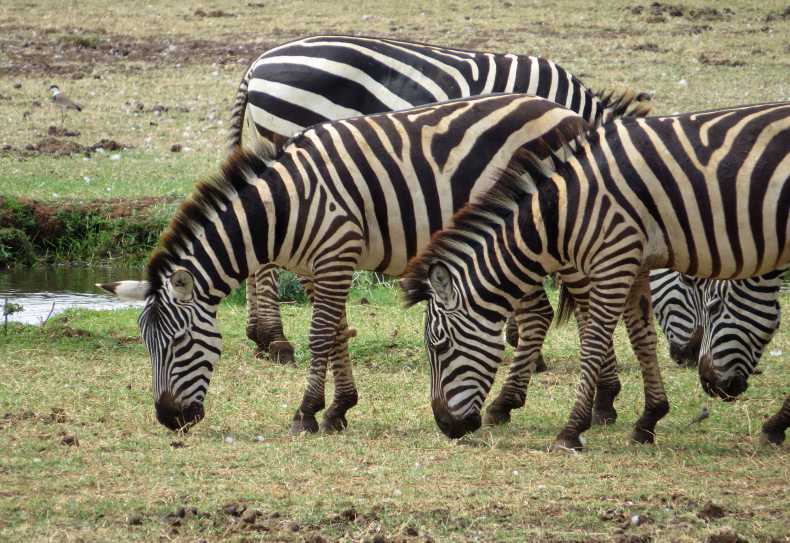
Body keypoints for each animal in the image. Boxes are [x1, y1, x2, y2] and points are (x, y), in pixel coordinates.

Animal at [99, 93, 638, 433]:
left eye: (179, 344)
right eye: (146, 346)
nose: (169, 420)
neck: (283, 207)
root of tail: (569, 113)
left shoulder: (336, 254)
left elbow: (321, 336)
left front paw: (306, 413)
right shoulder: (315, 268)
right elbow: (337, 332)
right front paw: (339, 409)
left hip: (556, 237)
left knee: (588, 313)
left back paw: (602, 401)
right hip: (513, 248)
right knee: (541, 315)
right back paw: (507, 405)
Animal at [401, 100, 789, 449]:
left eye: (439, 346)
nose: (445, 426)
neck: (562, 211)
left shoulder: (614, 259)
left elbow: (593, 341)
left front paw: (572, 430)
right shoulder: (636, 264)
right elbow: (642, 339)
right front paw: (649, 418)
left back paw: (775, 426)